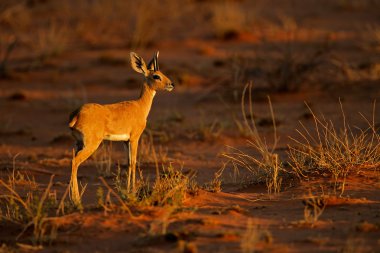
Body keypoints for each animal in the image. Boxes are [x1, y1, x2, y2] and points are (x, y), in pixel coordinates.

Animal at [69, 51, 174, 206]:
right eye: (156, 76)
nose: (171, 84)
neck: (140, 106)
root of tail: (77, 114)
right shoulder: (135, 138)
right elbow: (134, 162)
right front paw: (133, 193)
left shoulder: (125, 141)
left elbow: (128, 163)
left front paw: (128, 192)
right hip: (91, 144)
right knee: (75, 162)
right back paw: (76, 200)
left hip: (78, 144)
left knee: (72, 160)